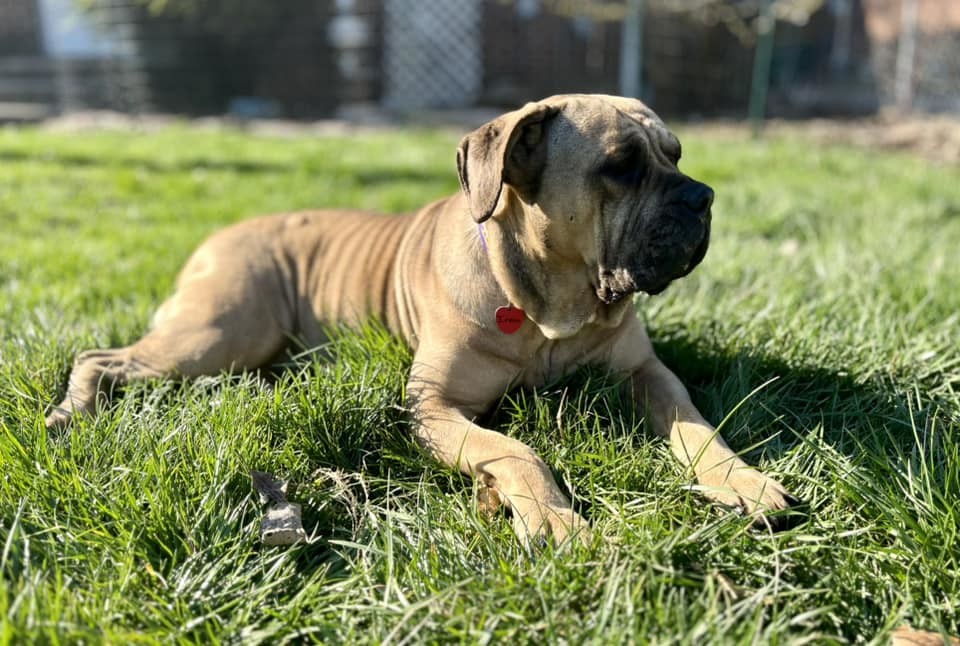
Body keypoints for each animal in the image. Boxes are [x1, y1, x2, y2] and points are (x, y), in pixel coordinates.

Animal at [47, 93, 796, 544]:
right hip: (219, 333)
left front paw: (740, 481)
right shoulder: (432, 406)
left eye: (676, 154)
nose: (704, 198)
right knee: (99, 358)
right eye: (620, 166)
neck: (548, 308)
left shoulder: (647, 373)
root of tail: (220, 234)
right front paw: (552, 517)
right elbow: (515, 450)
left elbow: (699, 428)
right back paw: (70, 413)